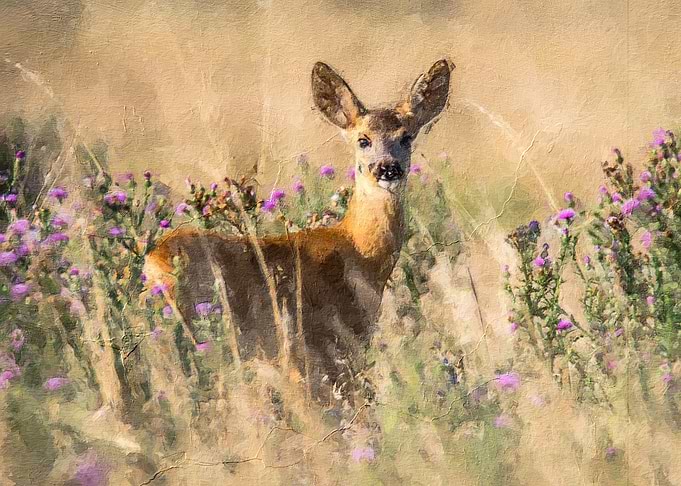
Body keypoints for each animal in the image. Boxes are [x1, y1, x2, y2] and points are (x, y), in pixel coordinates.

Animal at [143, 59, 454, 400]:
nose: (387, 168)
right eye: (363, 139)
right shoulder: (319, 347)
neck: (357, 252)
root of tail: (153, 263)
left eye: (406, 137)